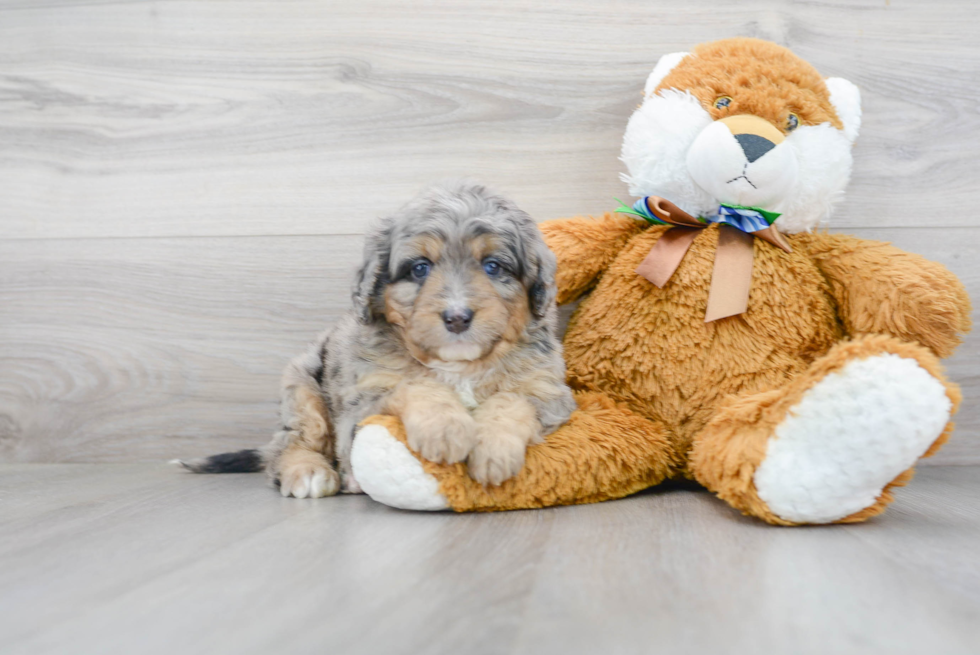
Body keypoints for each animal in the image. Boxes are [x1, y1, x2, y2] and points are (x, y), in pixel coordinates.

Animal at [178, 179, 576, 498]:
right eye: (420, 268)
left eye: (493, 266)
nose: (457, 317)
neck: (458, 365)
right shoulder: (362, 401)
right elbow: (416, 386)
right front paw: (446, 430)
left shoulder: (549, 393)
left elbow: (511, 401)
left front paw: (493, 450)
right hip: (303, 389)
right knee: (289, 443)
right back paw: (309, 472)